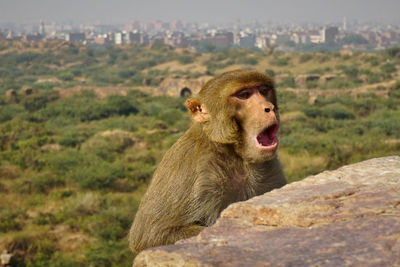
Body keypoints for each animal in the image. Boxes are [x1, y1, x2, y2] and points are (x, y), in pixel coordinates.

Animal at [130, 69, 286, 253]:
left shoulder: (270, 166)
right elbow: (149, 235)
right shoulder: (194, 167)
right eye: (244, 95)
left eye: (263, 91)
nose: (269, 108)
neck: (236, 155)